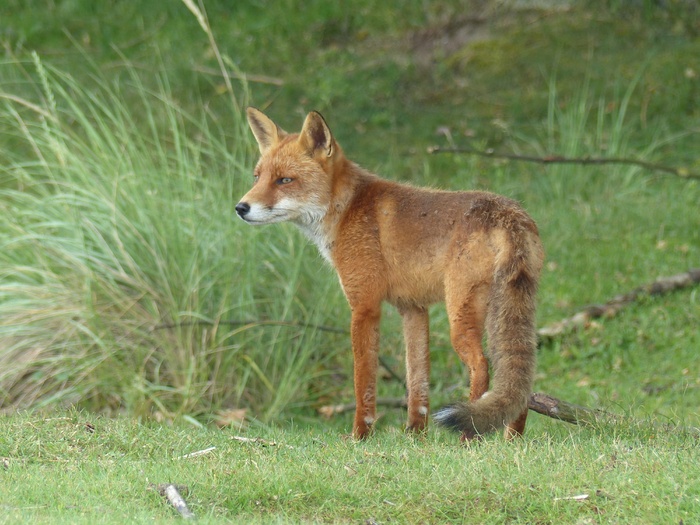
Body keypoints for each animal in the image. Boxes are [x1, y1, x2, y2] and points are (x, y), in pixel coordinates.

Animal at [238, 108, 544, 440]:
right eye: (257, 177)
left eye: (285, 180)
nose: (241, 207)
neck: (347, 209)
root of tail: (511, 214)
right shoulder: (412, 308)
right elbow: (417, 381)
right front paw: (415, 435)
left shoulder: (365, 305)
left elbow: (363, 380)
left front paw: (360, 434)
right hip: (509, 312)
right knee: (521, 380)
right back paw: (512, 440)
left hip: (462, 315)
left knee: (481, 367)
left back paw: (468, 438)